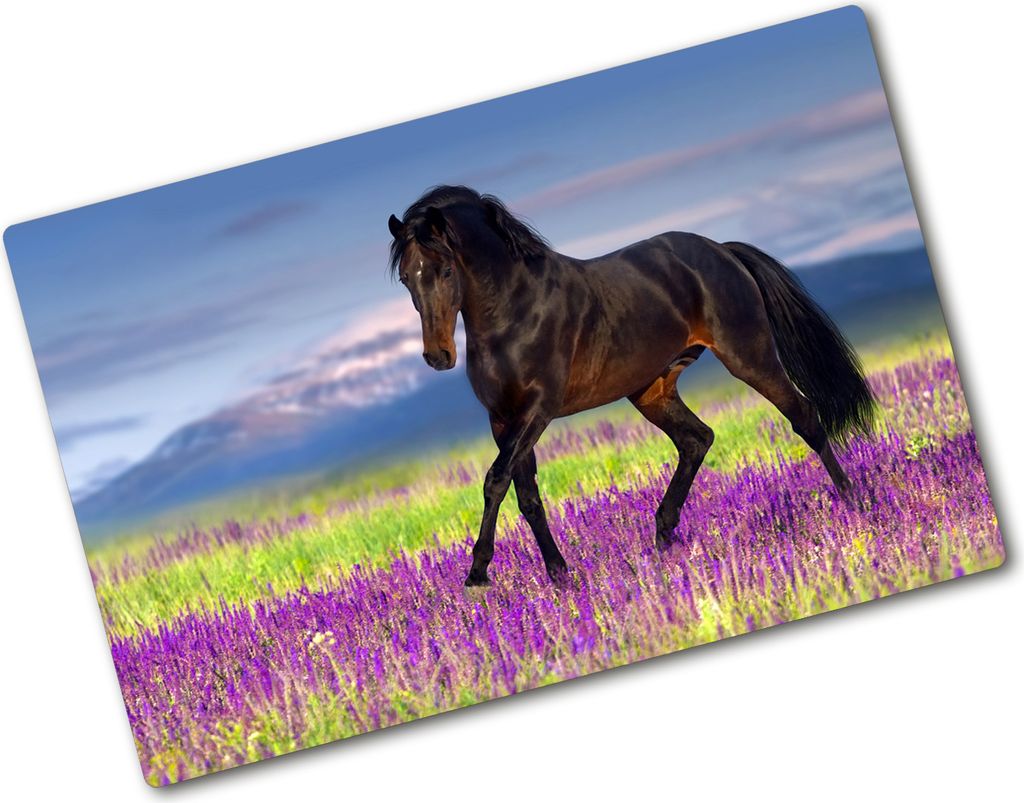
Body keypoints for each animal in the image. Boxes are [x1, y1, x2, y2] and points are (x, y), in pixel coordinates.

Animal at [387, 185, 877, 587]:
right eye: (407, 278)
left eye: (445, 270)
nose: (437, 356)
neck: (514, 311)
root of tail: (721, 250)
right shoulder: (503, 418)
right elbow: (525, 495)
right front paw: (560, 576)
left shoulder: (537, 411)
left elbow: (495, 480)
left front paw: (478, 572)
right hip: (652, 390)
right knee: (697, 439)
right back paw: (662, 537)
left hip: (749, 356)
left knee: (804, 417)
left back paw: (854, 502)